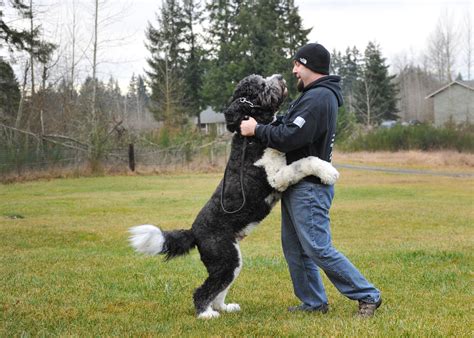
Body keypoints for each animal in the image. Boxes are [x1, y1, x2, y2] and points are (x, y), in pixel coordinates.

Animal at [128, 72, 338, 318]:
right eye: (262, 86)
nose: (279, 76)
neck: (251, 137)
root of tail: (194, 231)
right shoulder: (275, 177)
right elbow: (305, 162)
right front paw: (328, 171)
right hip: (225, 259)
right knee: (203, 291)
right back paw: (205, 314)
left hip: (232, 260)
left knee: (219, 290)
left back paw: (224, 308)